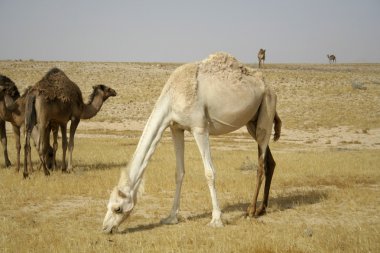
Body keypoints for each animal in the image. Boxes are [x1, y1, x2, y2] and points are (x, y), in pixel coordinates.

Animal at [102, 52, 280, 234]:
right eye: (108, 205)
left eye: (117, 208)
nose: (105, 227)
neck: (172, 97)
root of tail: (269, 88)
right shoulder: (176, 128)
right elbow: (179, 172)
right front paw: (171, 217)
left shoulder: (199, 128)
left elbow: (209, 172)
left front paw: (216, 219)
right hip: (252, 121)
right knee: (269, 161)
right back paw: (262, 209)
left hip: (266, 108)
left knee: (261, 165)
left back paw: (251, 211)